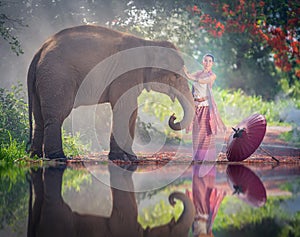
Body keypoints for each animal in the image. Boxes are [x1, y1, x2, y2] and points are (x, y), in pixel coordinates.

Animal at [27, 24, 193, 161]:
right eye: (176, 76)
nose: (173, 116)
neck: (148, 43)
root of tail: (40, 50)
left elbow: (132, 110)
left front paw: (131, 157)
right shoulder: (127, 72)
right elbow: (124, 107)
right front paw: (120, 158)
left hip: (43, 80)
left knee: (39, 117)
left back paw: (35, 155)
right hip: (57, 76)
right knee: (57, 115)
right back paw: (58, 157)